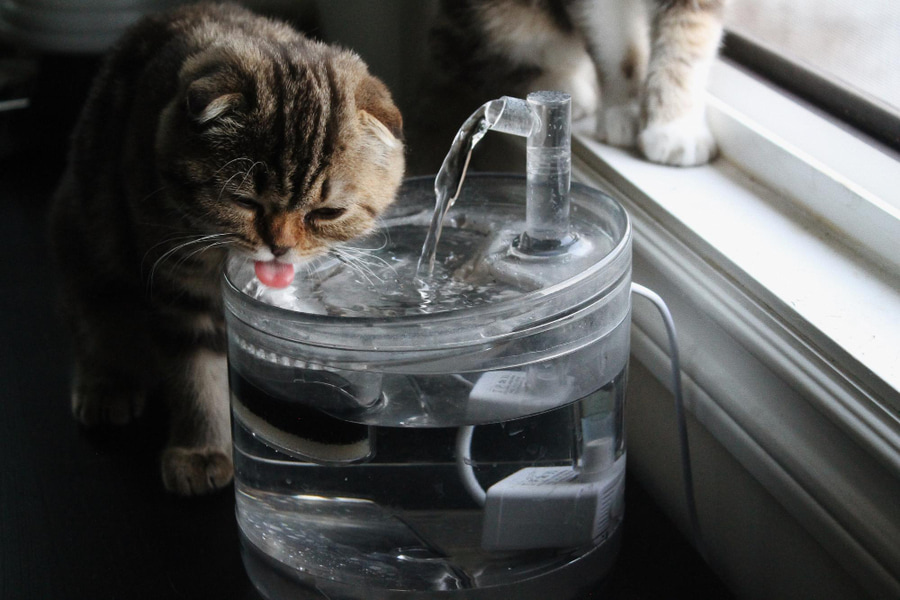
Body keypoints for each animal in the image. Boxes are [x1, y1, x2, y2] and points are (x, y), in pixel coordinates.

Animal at [46, 2, 404, 494]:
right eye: (245, 202)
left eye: (327, 213)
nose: (280, 247)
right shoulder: (178, 289)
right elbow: (196, 374)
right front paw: (201, 449)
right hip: (83, 246)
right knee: (95, 327)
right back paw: (106, 384)